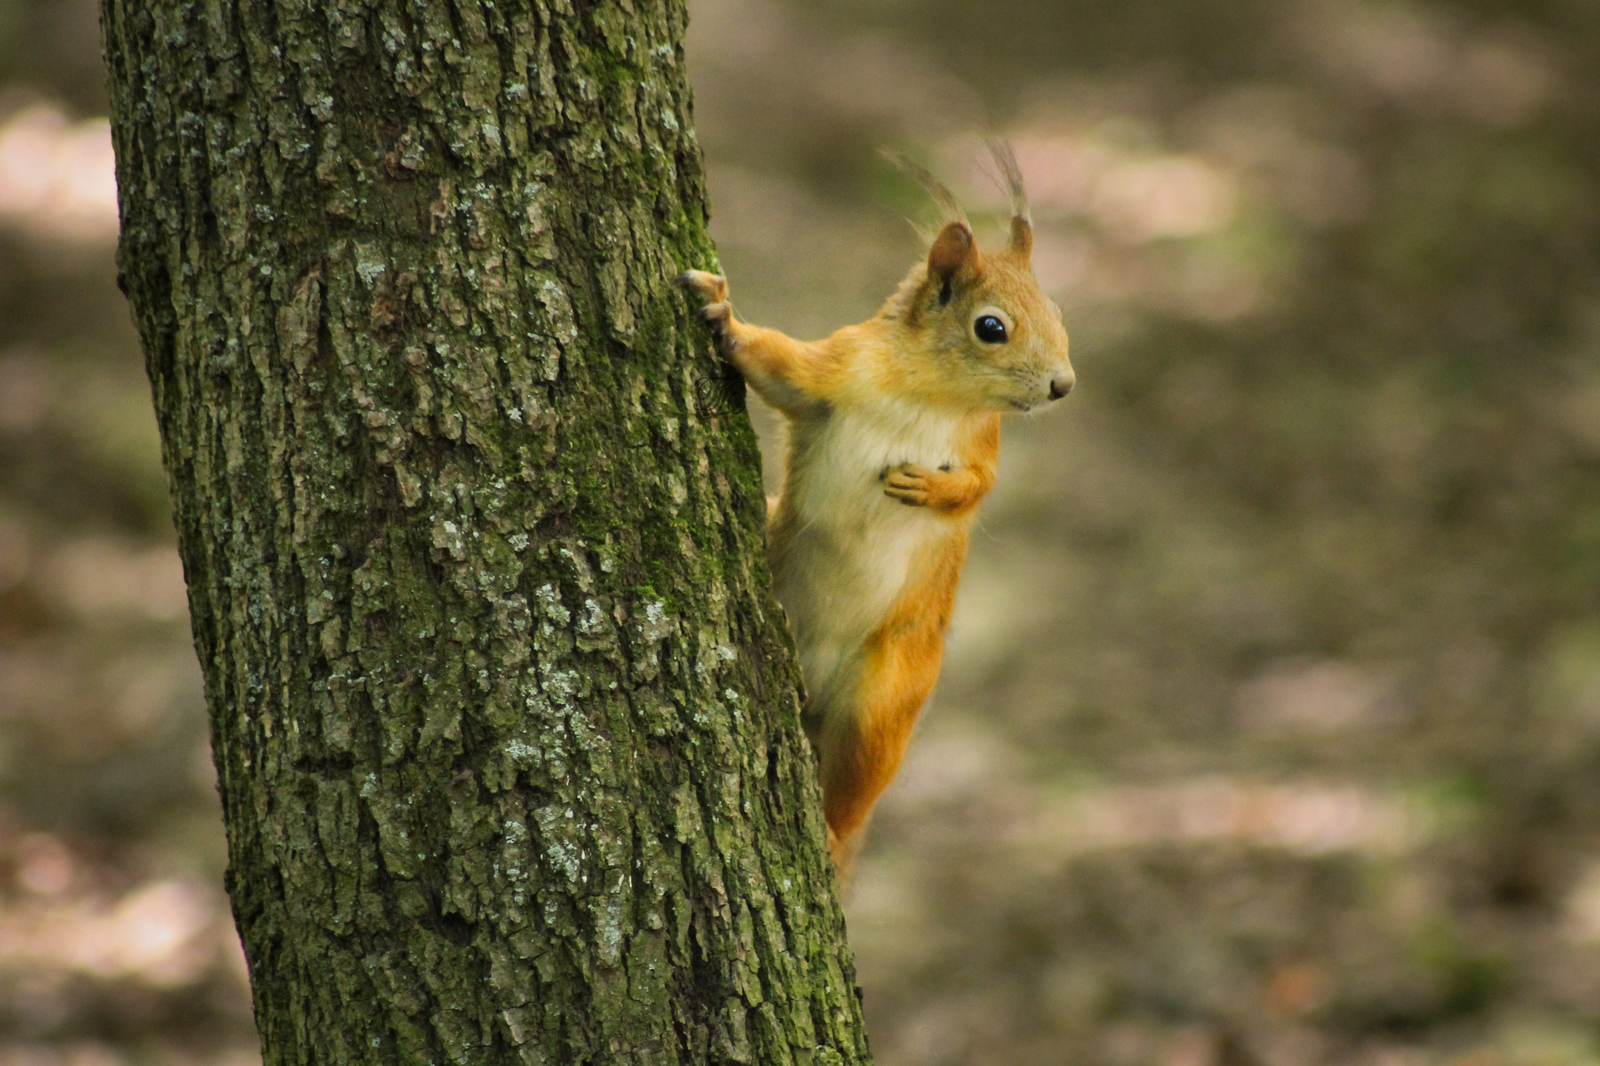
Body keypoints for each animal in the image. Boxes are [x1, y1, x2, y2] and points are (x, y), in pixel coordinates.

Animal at [678, 143, 1075, 870]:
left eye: (1057, 312)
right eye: (991, 327)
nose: (1064, 385)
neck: (927, 391)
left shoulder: (983, 445)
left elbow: (980, 487)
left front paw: (929, 488)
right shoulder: (830, 371)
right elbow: (774, 363)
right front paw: (723, 314)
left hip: (884, 701)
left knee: (854, 789)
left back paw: (832, 839)